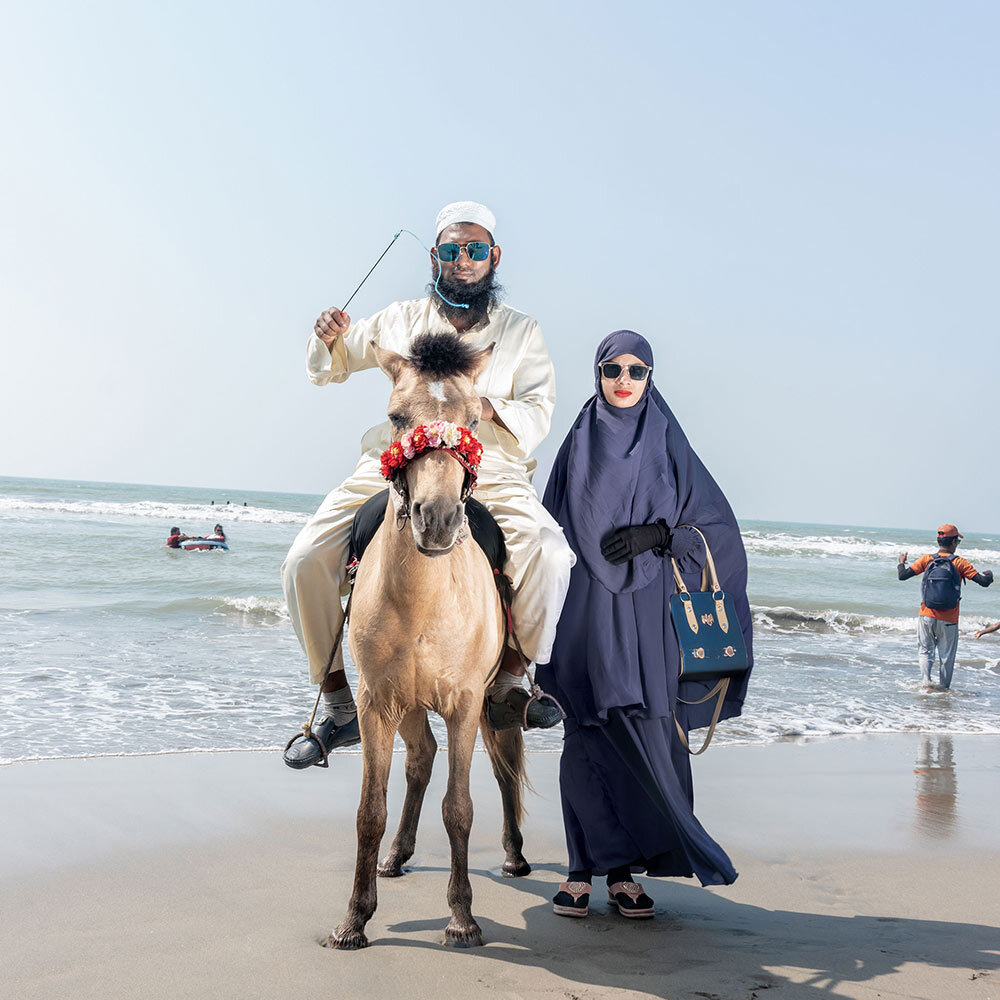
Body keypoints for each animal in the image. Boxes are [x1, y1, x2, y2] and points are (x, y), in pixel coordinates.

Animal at [330, 332, 536, 948]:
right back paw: (397, 855)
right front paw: (355, 917)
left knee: (504, 764)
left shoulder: (464, 703)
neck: (422, 602)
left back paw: (514, 856)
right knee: (420, 760)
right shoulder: (378, 703)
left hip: (491, 702)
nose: (438, 519)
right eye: (398, 417)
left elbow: (460, 808)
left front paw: (462, 917)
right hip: (409, 703)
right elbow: (370, 811)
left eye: (472, 420)